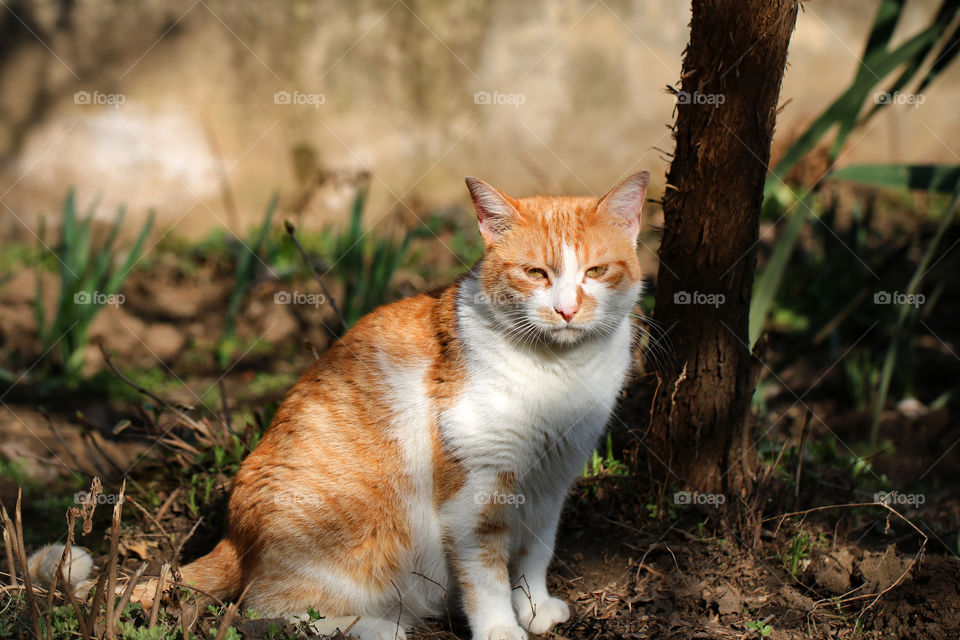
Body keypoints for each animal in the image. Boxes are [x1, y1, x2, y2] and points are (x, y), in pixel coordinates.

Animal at [133, 171, 644, 640]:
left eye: (596, 272)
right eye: (536, 273)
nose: (566, 310)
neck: (558, 372)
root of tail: (232, 537)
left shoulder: (552, 481)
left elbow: (535, 554)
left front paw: (535, 609)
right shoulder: (476, 491)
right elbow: (486, 574)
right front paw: (501, 629)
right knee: (268, 609)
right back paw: (379, 627)